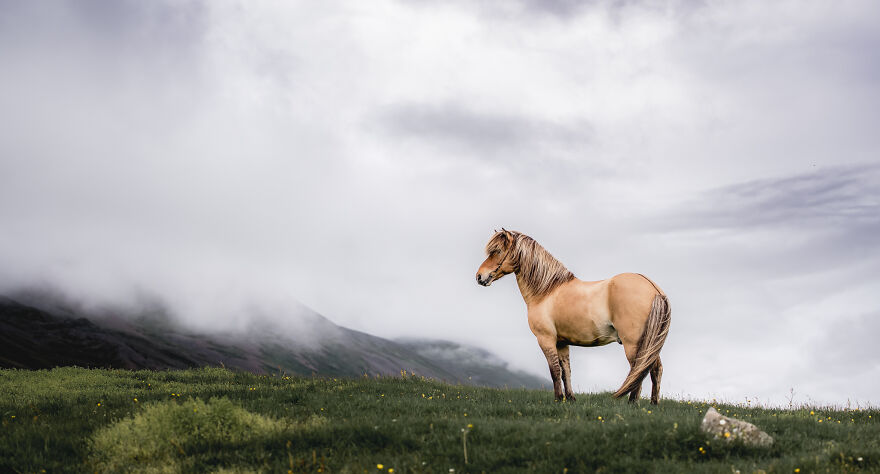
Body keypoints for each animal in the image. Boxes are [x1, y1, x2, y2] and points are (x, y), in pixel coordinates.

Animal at [475, 229, 671, 404]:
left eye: (497, 251)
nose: (479, 276)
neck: (547, 291)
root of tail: (654, 288)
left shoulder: (546, 339)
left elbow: (554, 371)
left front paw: (558, 399)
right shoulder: (562, 343)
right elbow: (566, 372)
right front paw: (569, 398)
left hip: (633, 343)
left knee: (639, 369)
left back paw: (632, 403)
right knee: (655, 369)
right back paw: (653, 403)